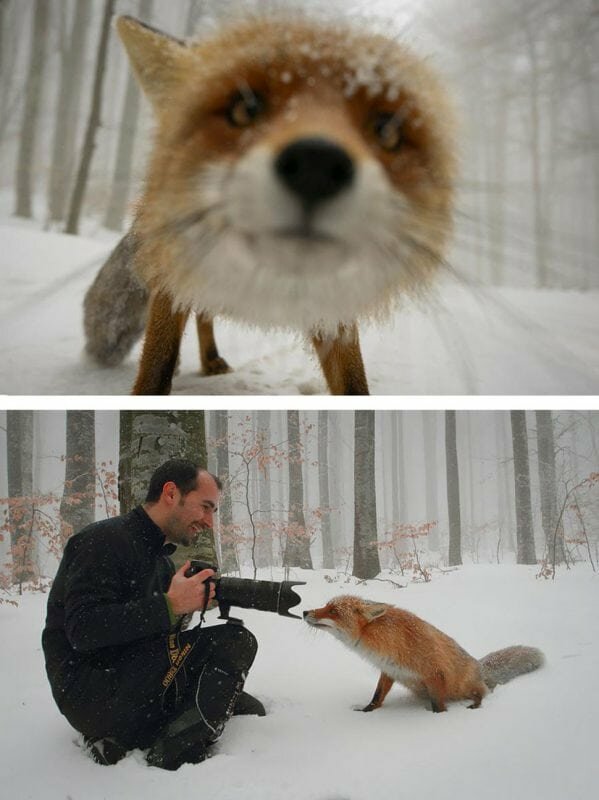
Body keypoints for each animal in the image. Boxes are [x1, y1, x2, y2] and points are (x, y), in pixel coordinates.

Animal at [84, 6, 458, 394]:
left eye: (385, 130)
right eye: (243, 109)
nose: (315, 166)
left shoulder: (333, 305)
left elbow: (354, 383)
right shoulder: (170, 276)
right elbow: (157, 366)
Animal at [304, 592, 544, 712]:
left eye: (333, 611)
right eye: (325, 606)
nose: (305, 611)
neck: (389, 641)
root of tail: (480, 666)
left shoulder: (435, 673)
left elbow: (438, 706)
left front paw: (438, 720)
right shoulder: (389, 670)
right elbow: (377, 696)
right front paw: (367, 712)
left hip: (466, 686)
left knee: (482, 693)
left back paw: (475, 705)